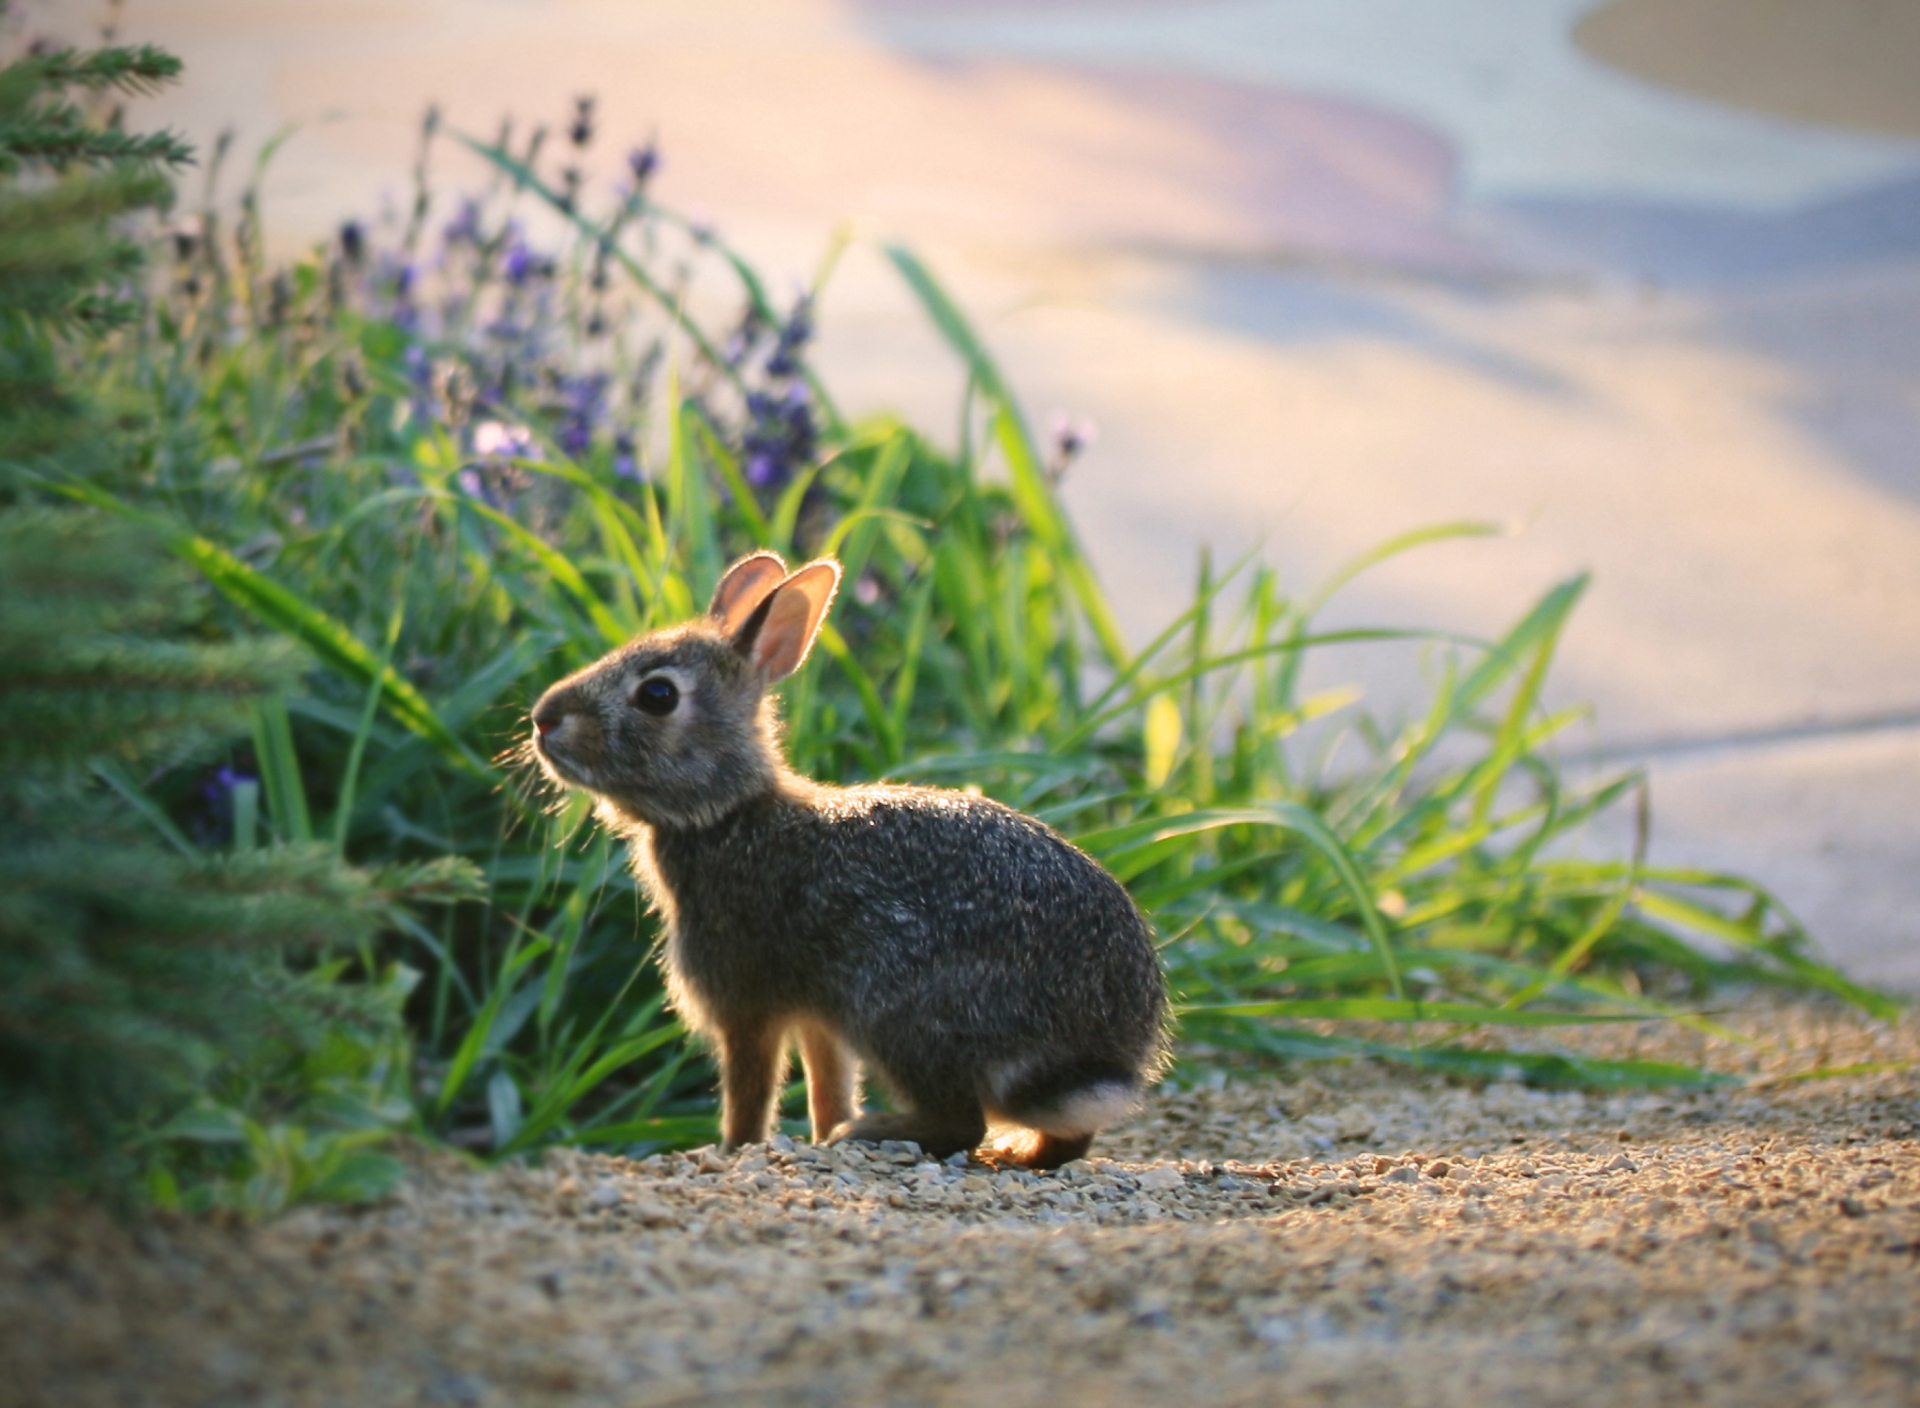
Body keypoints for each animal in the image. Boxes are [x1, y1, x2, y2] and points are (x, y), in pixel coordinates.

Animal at [529, 549, 1167, 1167]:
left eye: (657, 695)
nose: (543, 718)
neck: (727, 813)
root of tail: (1099, 1053)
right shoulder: (818, 1018)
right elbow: (827, 1082)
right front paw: (816, 1132)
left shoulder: (745, 1001)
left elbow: (750, 1089)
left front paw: (734, 1151)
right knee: (1065, 1140)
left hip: (899, 1007)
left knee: (962, 1123)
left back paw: (875, 1133)